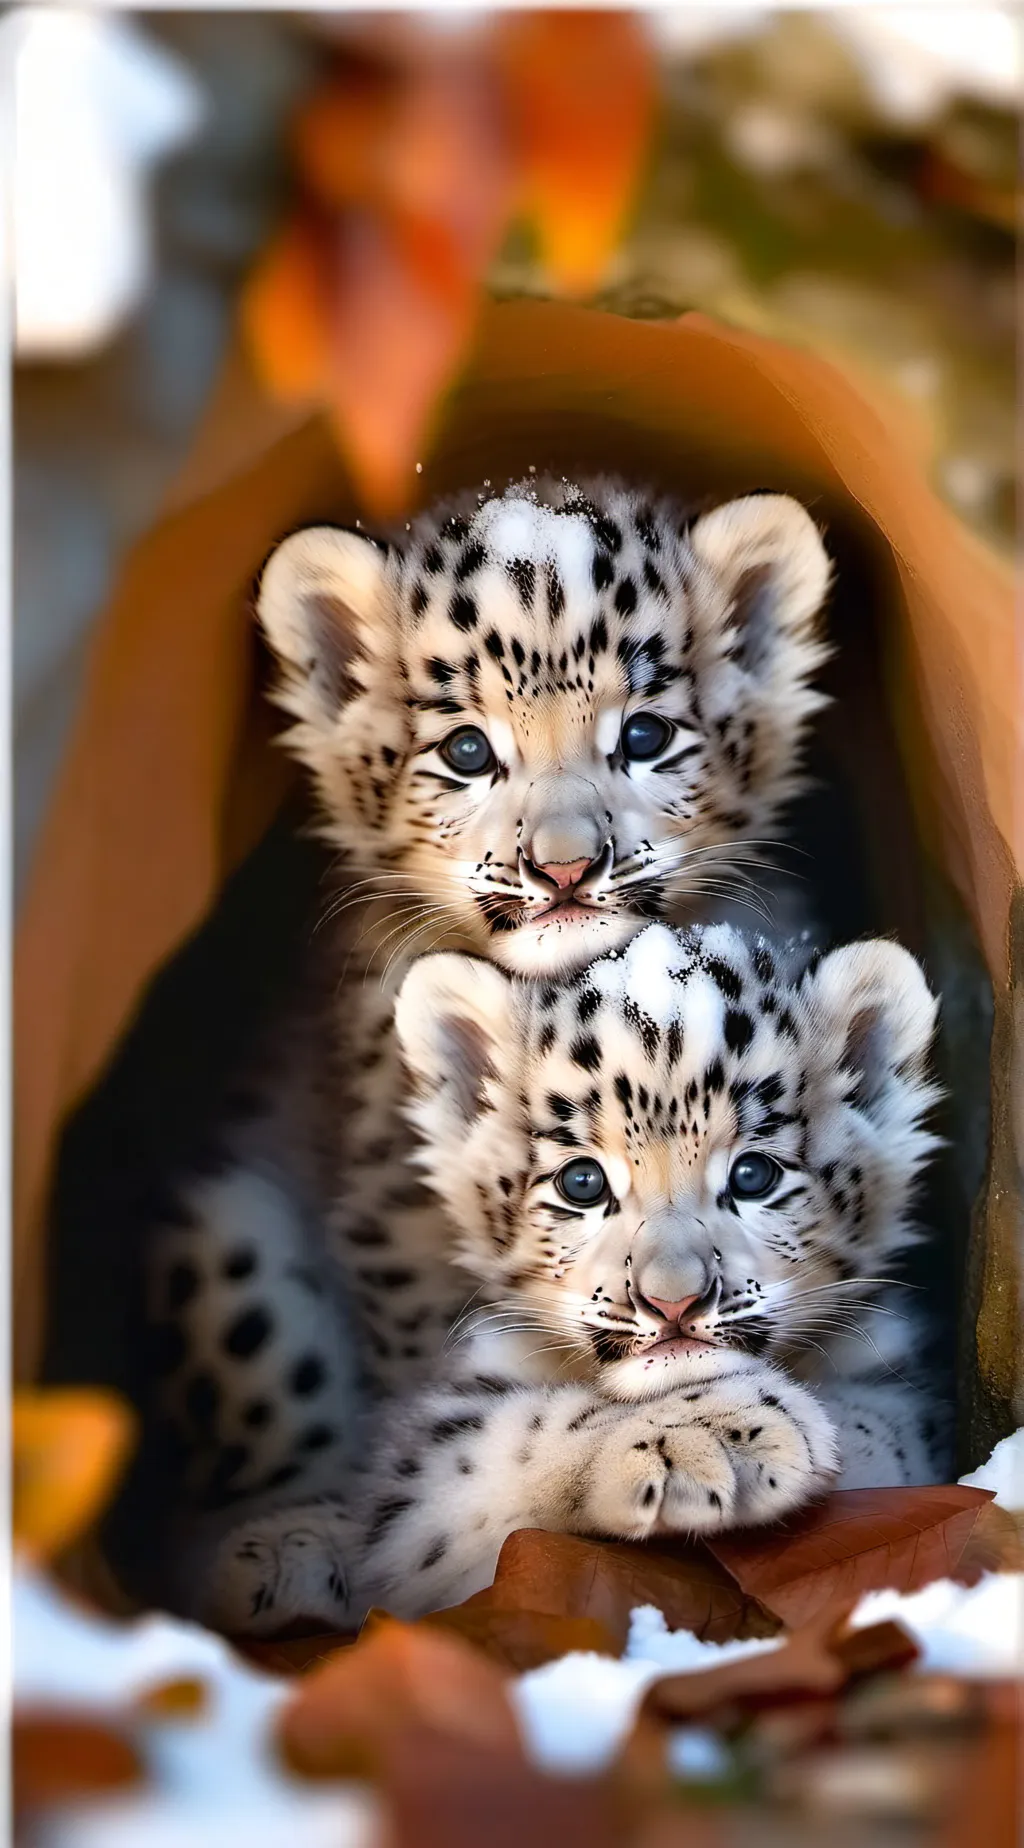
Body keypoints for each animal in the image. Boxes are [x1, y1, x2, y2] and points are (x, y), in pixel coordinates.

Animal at [147, 475, 834, 1630]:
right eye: (466, 749)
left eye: (646, 732)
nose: (563, 867)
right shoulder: (405, 1201)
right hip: (227, 1223)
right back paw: (284, 1546)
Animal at [204, 919, 945, 1631]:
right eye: (581, 1182)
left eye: (753, 1175)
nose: (672, 1300)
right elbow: (508, 1440)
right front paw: (711, 1436)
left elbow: (884, 1434)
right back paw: (285, 1551)